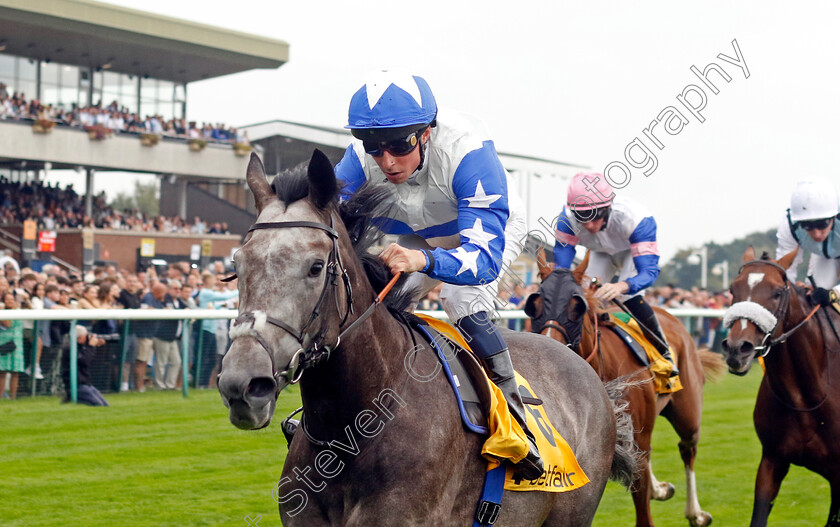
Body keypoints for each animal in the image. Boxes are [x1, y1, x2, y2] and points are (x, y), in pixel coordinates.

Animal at [528, 251, 724, 527]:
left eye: (577, 306)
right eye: (533, 305)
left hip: (687, 411)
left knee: (688, 449)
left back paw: (695, 512)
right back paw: (659, 489)